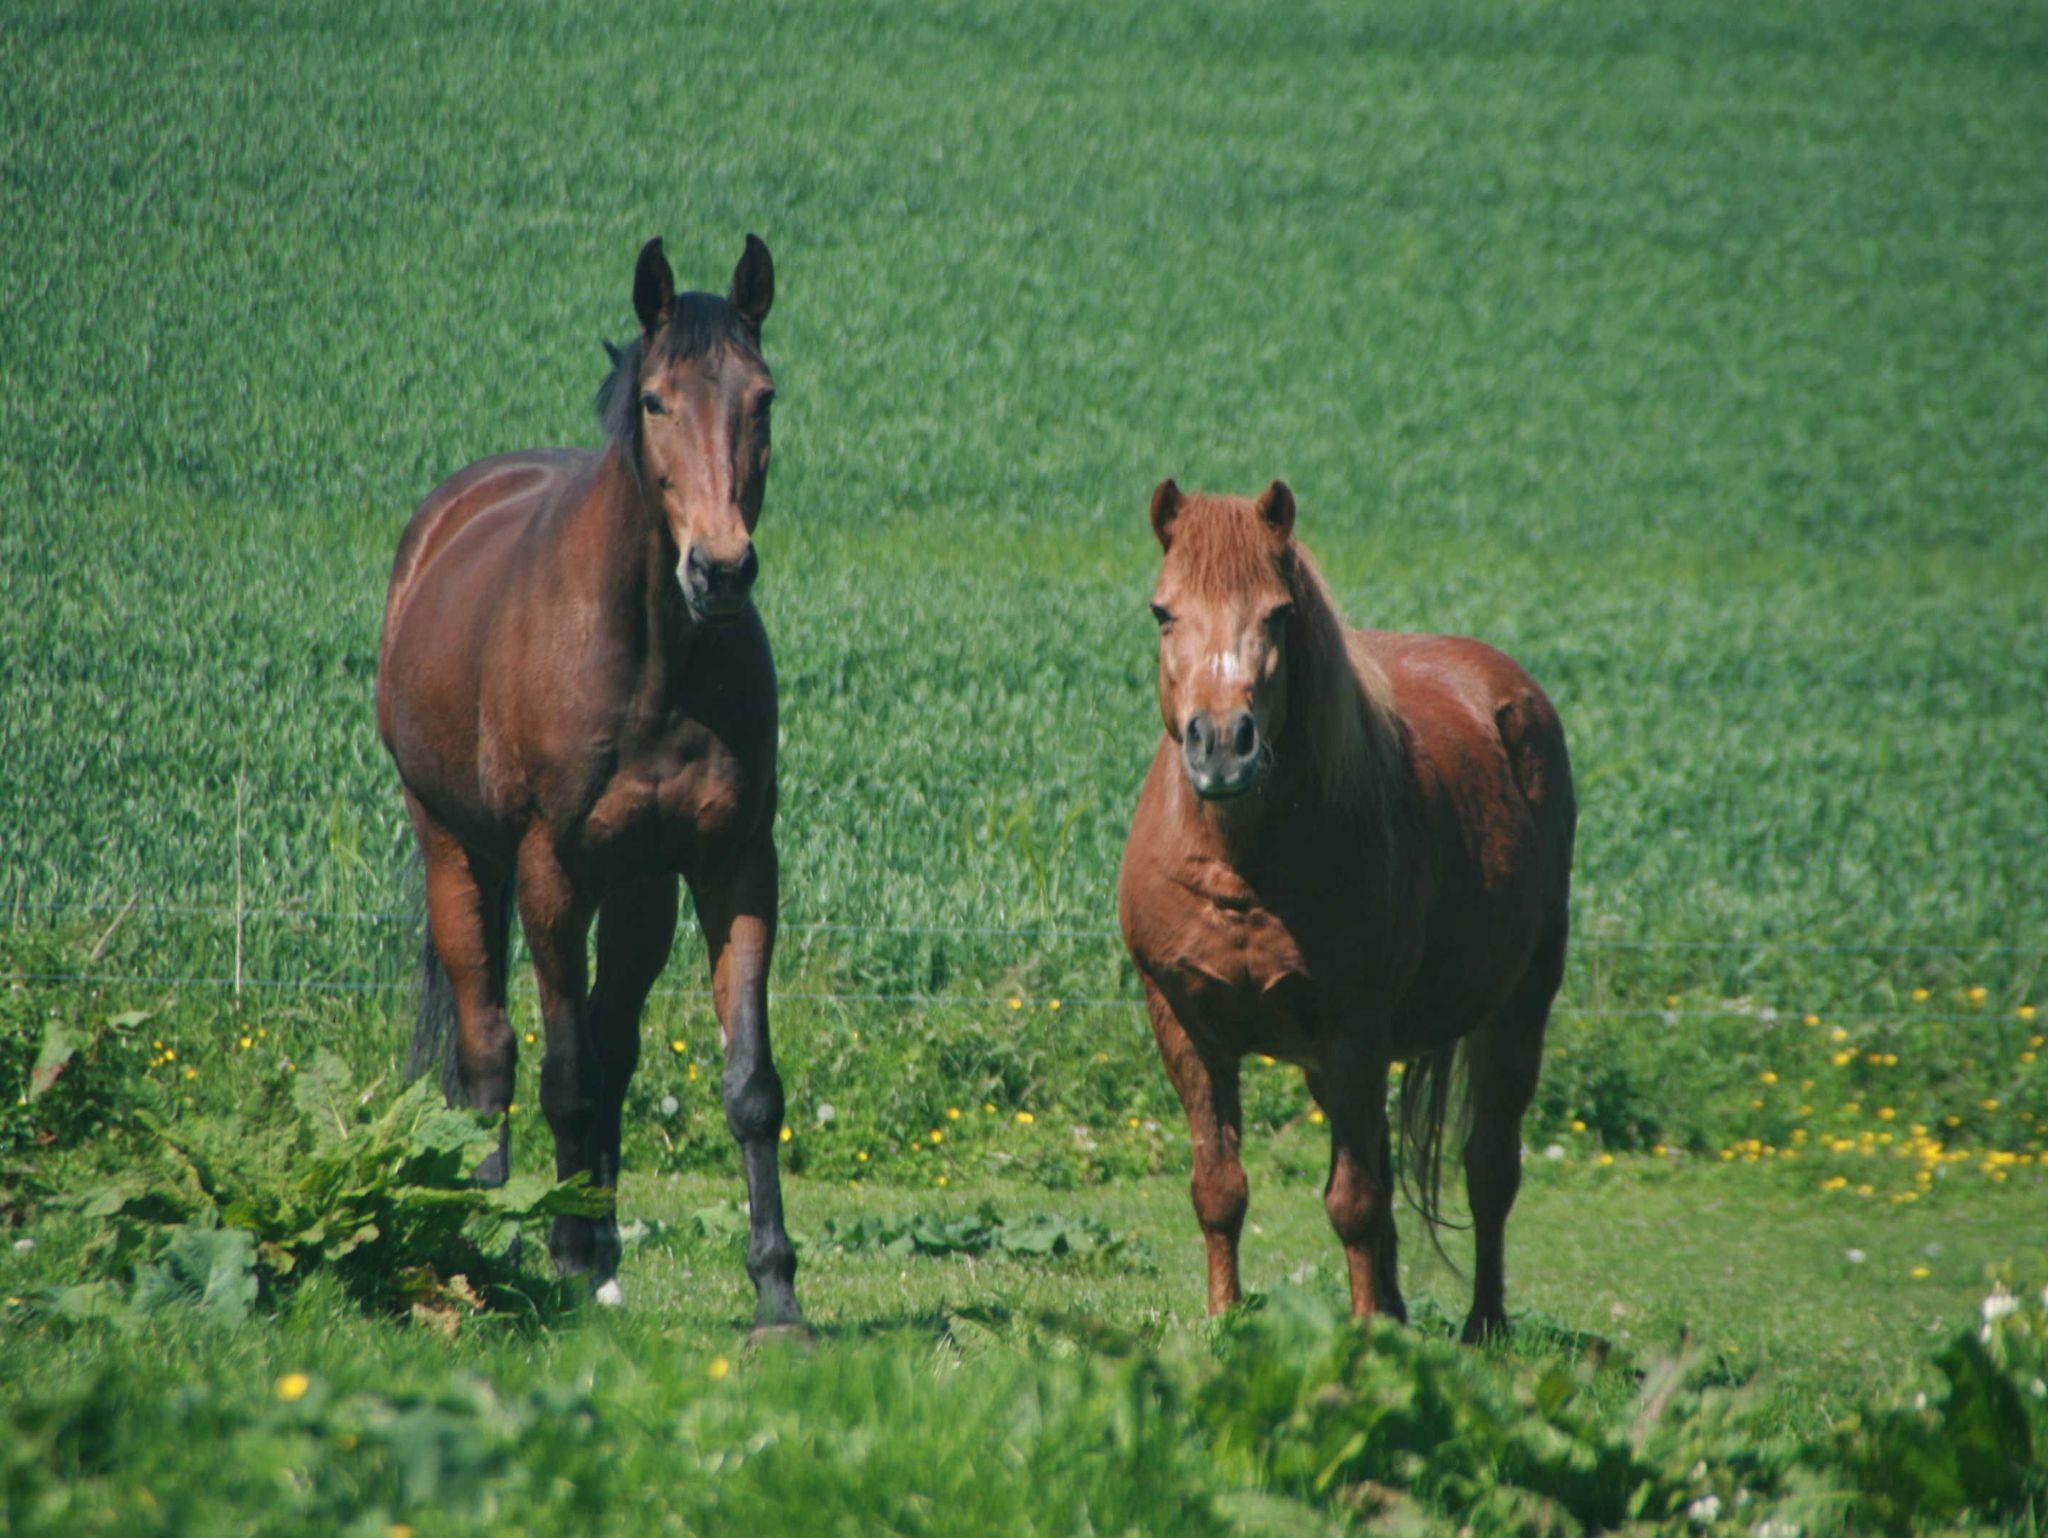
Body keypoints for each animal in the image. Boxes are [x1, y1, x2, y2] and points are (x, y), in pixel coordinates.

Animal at [375, 233, 802, 1330]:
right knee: (491, 1047)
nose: (720, 570)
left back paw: (602, 1244)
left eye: (762, 398)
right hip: (455, 851)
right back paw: (494, 1222)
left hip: (642, 890)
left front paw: (777, 1288)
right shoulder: (549, 871)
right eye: (654, 401)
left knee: (614, 1047)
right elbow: (560, 1070)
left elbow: (749, 1083)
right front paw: (559, 1250)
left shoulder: (734, 864)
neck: (651, 654)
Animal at [1116, 480, 1575, 1340]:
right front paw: (1224, 1319)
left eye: (1277, 615)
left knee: (1489, 1168)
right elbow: (1220, 1188)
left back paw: (1483, 1325)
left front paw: (1364, 1339)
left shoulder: (1354, 1028)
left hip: (1519, 1005)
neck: (1241, 864)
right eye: (1163, 611)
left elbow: (1354, 1201)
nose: (1221, 746)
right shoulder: (1186, 1025)